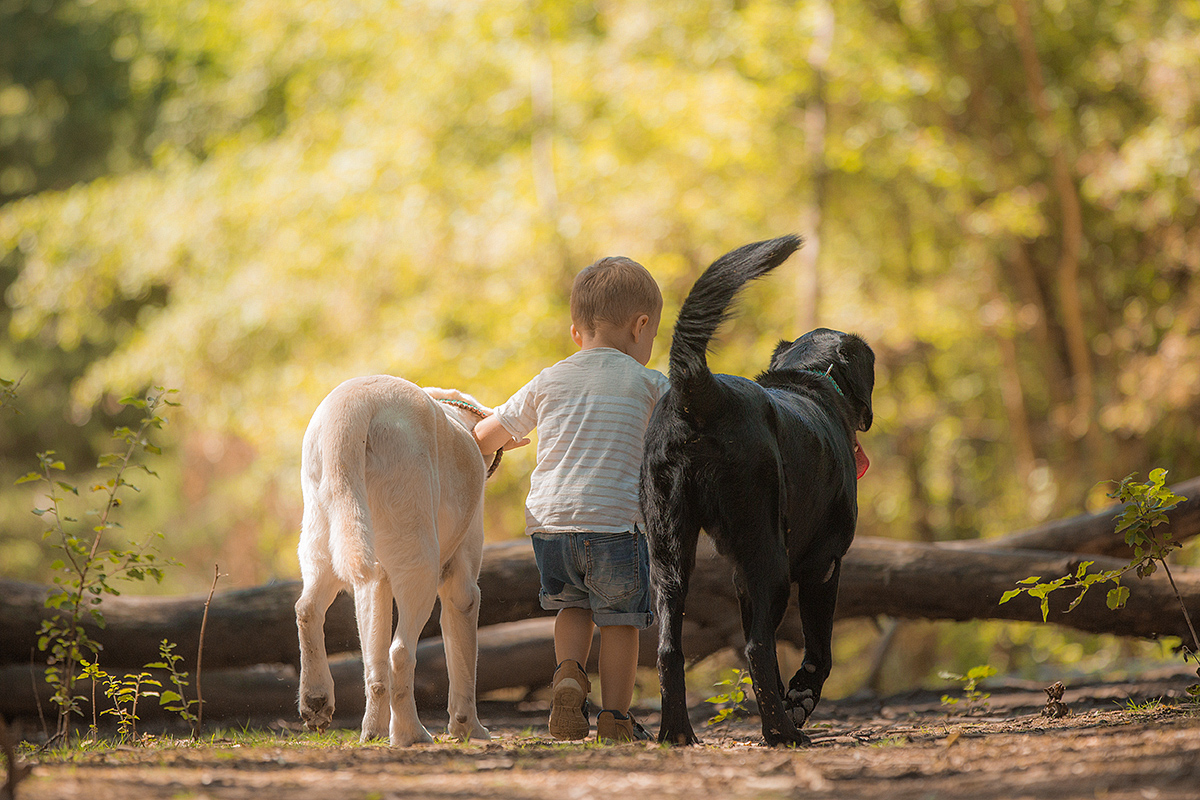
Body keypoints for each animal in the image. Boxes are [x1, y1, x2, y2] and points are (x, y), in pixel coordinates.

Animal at [296, 379, 501, 748]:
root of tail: (355, 403)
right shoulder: (462, 590)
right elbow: (464, 666)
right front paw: (470, 730)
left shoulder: (378, 583)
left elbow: (374, 667)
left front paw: (374, 732)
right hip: (420, 566)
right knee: (400, 652)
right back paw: (411, 734)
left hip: (327, 543)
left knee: (311, 612)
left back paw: (318, 701)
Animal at [643, 235, 878, 748]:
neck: (812, 382)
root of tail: (703, 394)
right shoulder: (824, 564)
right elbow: (818, 652)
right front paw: (800, 701)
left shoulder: (739, 574)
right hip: (768, 553)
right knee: (755, 646)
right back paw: (783, 731)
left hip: (669, 554)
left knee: (669, 648)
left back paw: (677, 732)